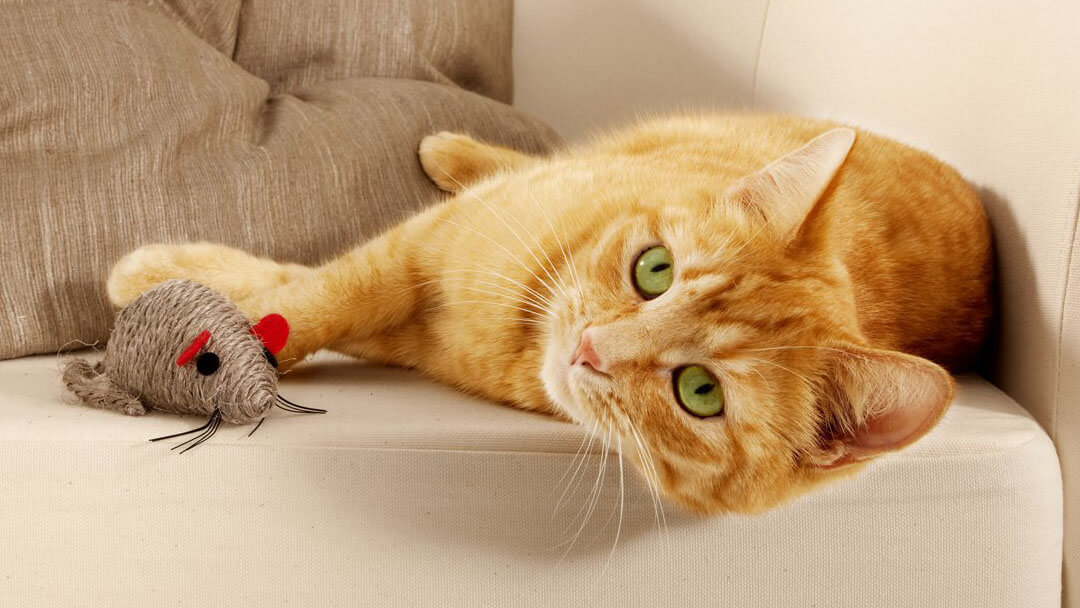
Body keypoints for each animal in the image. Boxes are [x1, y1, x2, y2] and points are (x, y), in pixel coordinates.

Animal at [107, 112, 989, 514]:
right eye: (654, 270)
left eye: (700, 392)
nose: (593, 347)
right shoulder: (422, 245)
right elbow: (318, 296)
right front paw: (176, 291)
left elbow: (303, 301)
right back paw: (449, 148)